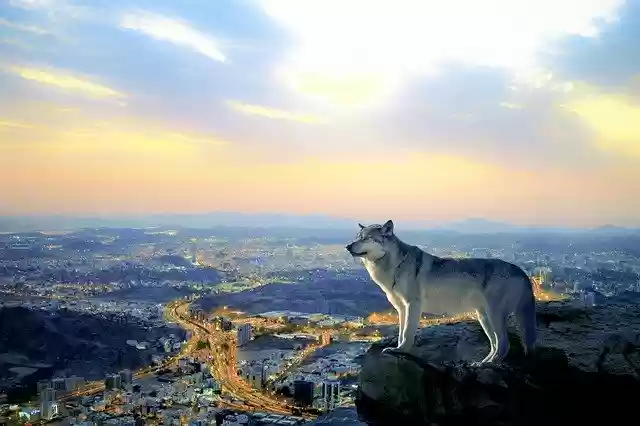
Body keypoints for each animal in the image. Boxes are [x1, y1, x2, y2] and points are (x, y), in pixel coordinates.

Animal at [345, 220, 536, 364]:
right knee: (496, 344)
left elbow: (407, 333)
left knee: (504, 344)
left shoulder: (413, 305)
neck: (395, 265)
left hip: (494, 315)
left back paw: (487, 365)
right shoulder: (401, 308)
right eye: (357, 237)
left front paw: (401, 351)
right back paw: (481, 363)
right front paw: (398, 349)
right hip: (484, 317)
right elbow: (401, 333)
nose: (347, 246)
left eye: (367, 238)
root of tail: (521, 271)